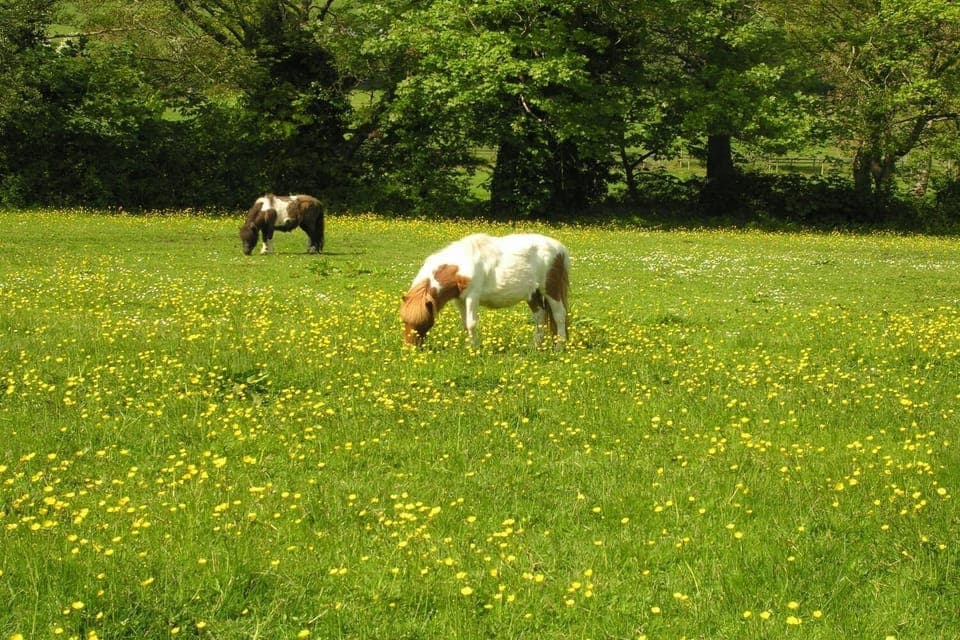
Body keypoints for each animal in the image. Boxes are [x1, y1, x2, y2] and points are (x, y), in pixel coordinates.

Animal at [400, 233, 570, 349]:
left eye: (424, 321)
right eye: (404, 321)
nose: (410, 348)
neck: (461, 267)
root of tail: (560, 248)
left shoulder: (472, 297)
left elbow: (471, 323)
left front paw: (475, 349)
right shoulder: (459, 300)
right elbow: (465, 324)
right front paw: (470, 347)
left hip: (551, 290)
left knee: (559, 316)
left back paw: (559, 347)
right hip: (532, 293)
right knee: (540, 316)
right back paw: (536, 346)